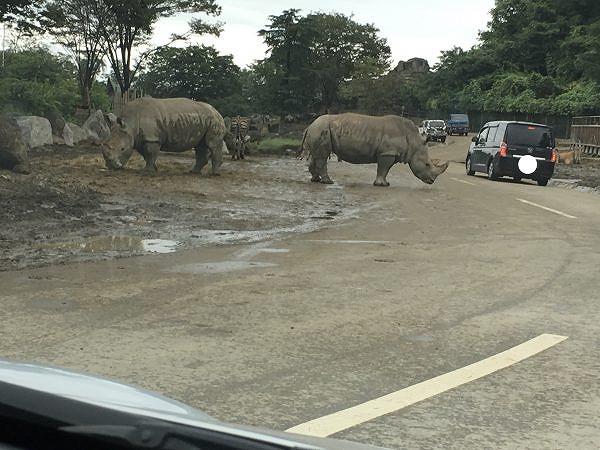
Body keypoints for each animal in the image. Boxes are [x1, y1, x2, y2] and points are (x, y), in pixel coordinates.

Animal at [302, 113, 448, 185]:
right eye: (427, 164)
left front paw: (385, 183)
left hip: (319, 129)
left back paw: (316, 180)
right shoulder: (387, 153)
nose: (432, 181)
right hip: (321, 129)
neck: (413, 141)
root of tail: (310, 125)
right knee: (322, 157)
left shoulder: (391, 153)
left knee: (316, 155)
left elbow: (386, 170)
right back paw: (328, 182)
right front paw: (382, 184)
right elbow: (383, 169)